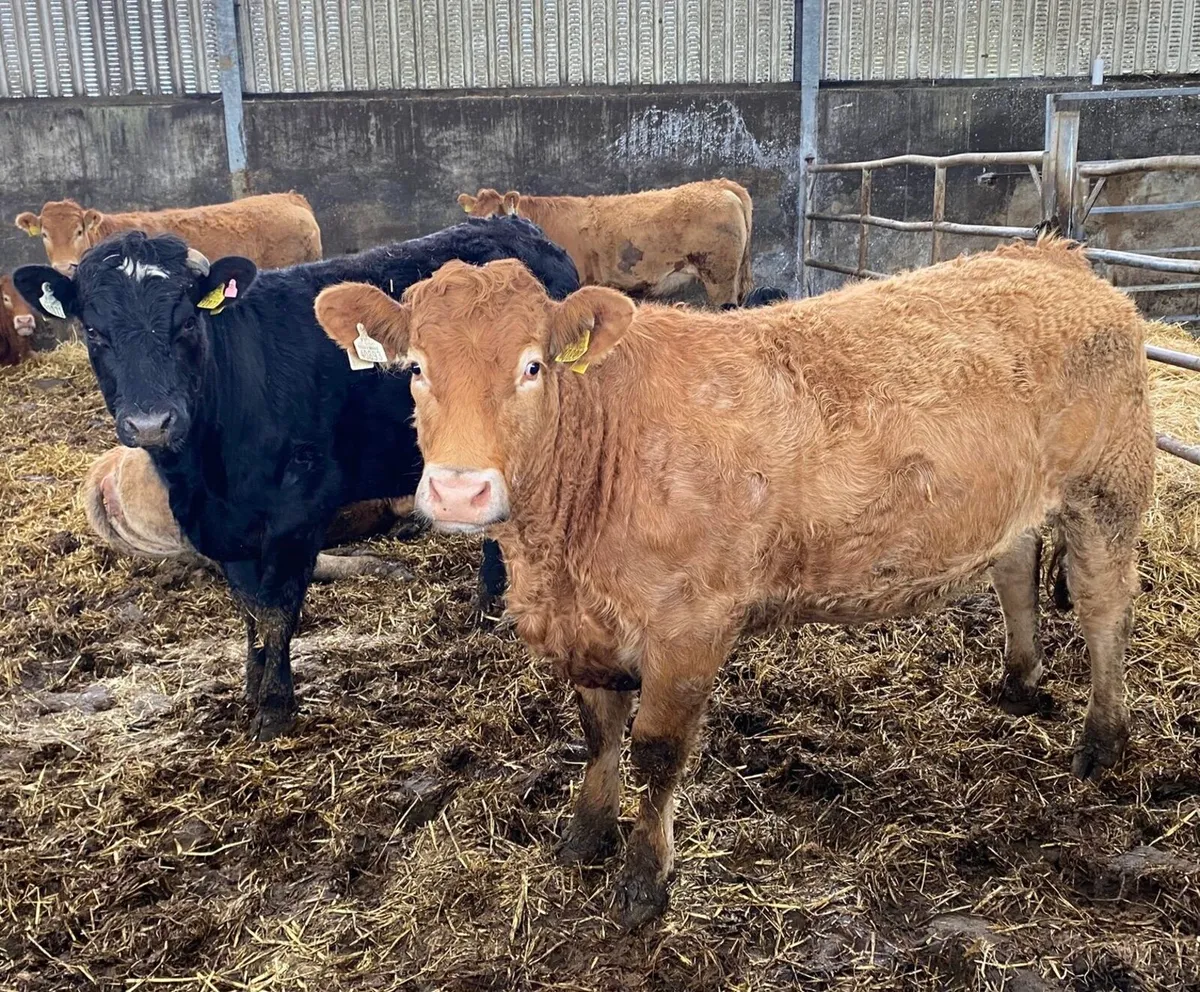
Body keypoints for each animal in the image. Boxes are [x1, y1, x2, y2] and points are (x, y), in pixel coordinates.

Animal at [14, 216, 579, 740]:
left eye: (186, 323)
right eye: (94, 332)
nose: (151, 422)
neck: (209, 475)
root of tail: (512, 224)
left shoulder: (299, 509)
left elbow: (278, 607)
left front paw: (274, 708)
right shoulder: (225, 530)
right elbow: (250, 607)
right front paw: (252, 684)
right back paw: (485, 608)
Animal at [314, 237, 1155, 928]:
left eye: (532, 365)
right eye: (416, 369)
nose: (459, 491)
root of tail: (1051, 255)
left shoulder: (691, 626)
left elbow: (656, 753)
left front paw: (644, 881)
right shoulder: (587, 629)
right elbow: (598, 735)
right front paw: (584, 836)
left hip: (1108, 486)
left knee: (1105, 607)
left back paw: (1103, 738)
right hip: (1014, 499)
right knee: (1015, 570)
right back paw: (1017, 679)